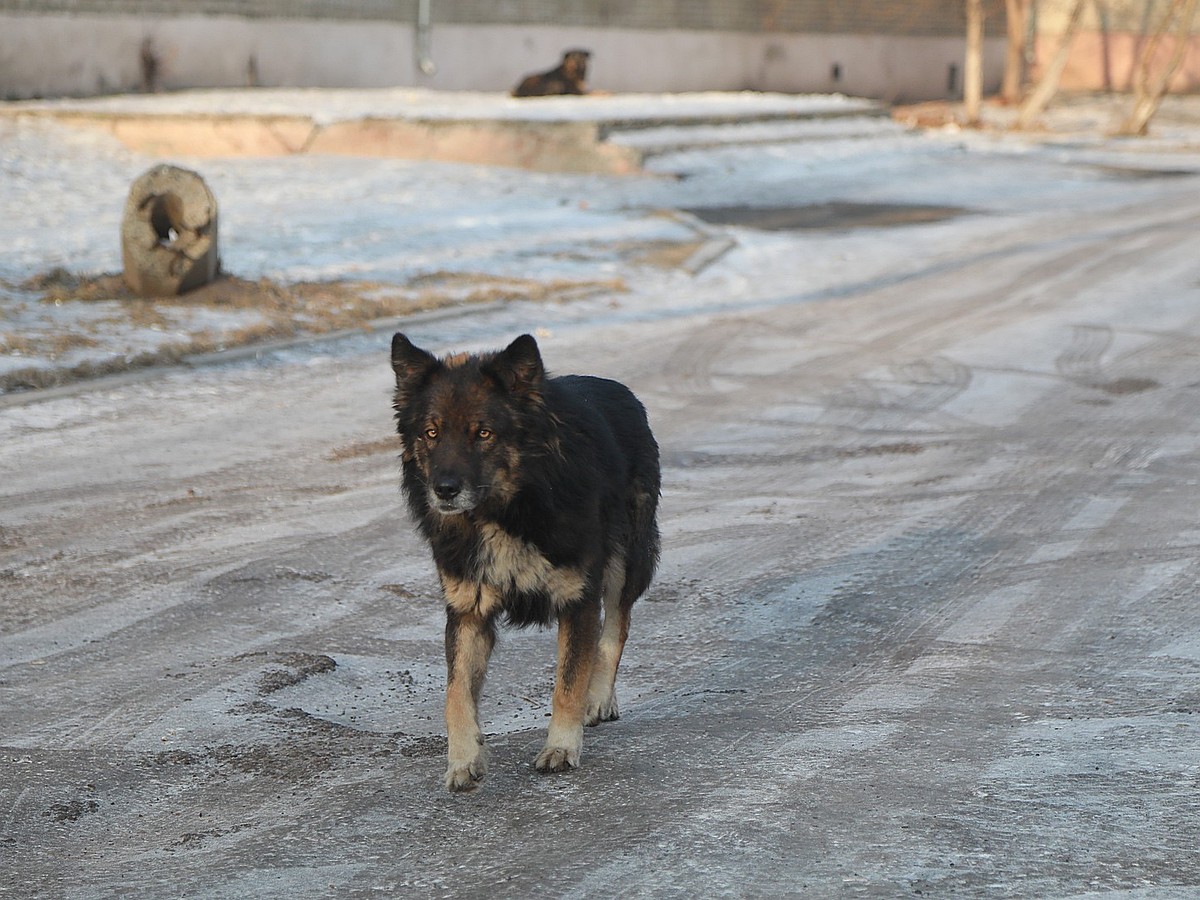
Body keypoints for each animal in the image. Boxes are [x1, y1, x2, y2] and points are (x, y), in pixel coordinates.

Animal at [391, 336, 662, 792]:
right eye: (431, 433)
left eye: (483, 433)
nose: (443, 491)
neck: (505, 511)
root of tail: (619, 389)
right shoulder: (467, 610)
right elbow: (455, 693)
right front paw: (463, 759)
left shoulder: (578, 598)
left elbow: (568, 682)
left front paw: (561, 747)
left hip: (625, 561)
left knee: (616, 627)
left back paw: (599, 698)